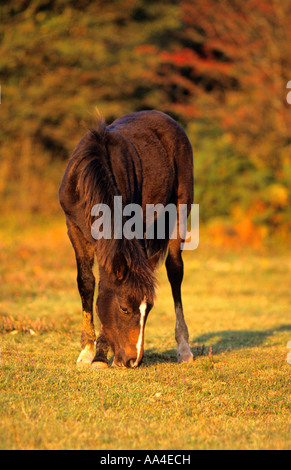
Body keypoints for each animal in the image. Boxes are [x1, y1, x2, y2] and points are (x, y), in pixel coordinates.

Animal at [59, 109, 195, 368]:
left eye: (149, 308)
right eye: (123, 308)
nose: (133, 360)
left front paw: (100, 355)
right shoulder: (74, 229)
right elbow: (87, 283)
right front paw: (88, 351)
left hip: (179, 211)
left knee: (175, 272)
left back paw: (184, 349)